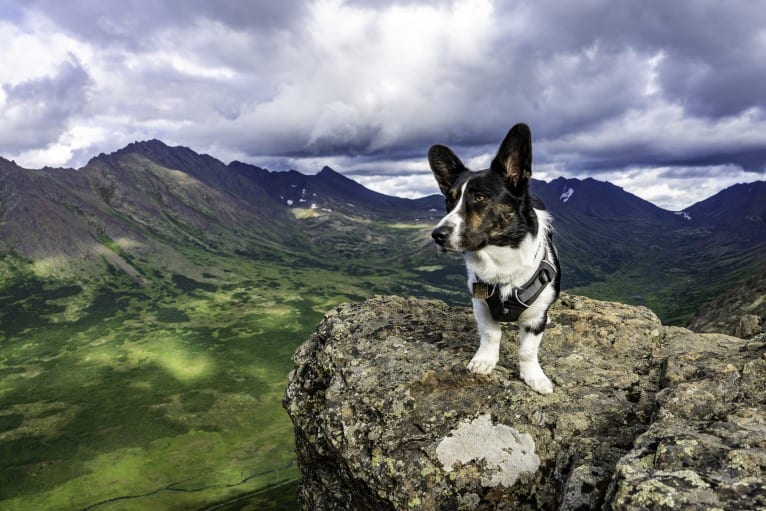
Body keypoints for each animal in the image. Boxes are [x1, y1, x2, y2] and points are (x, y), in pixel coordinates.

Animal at [428, 124, 560, 396]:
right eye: (449, 200)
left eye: (479, 197)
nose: (437, 235)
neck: (500, 261)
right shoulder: (481, 305)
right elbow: (491, 335)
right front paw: (484, 361)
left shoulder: (535, 320)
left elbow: (527, 350)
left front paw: (535, 378)